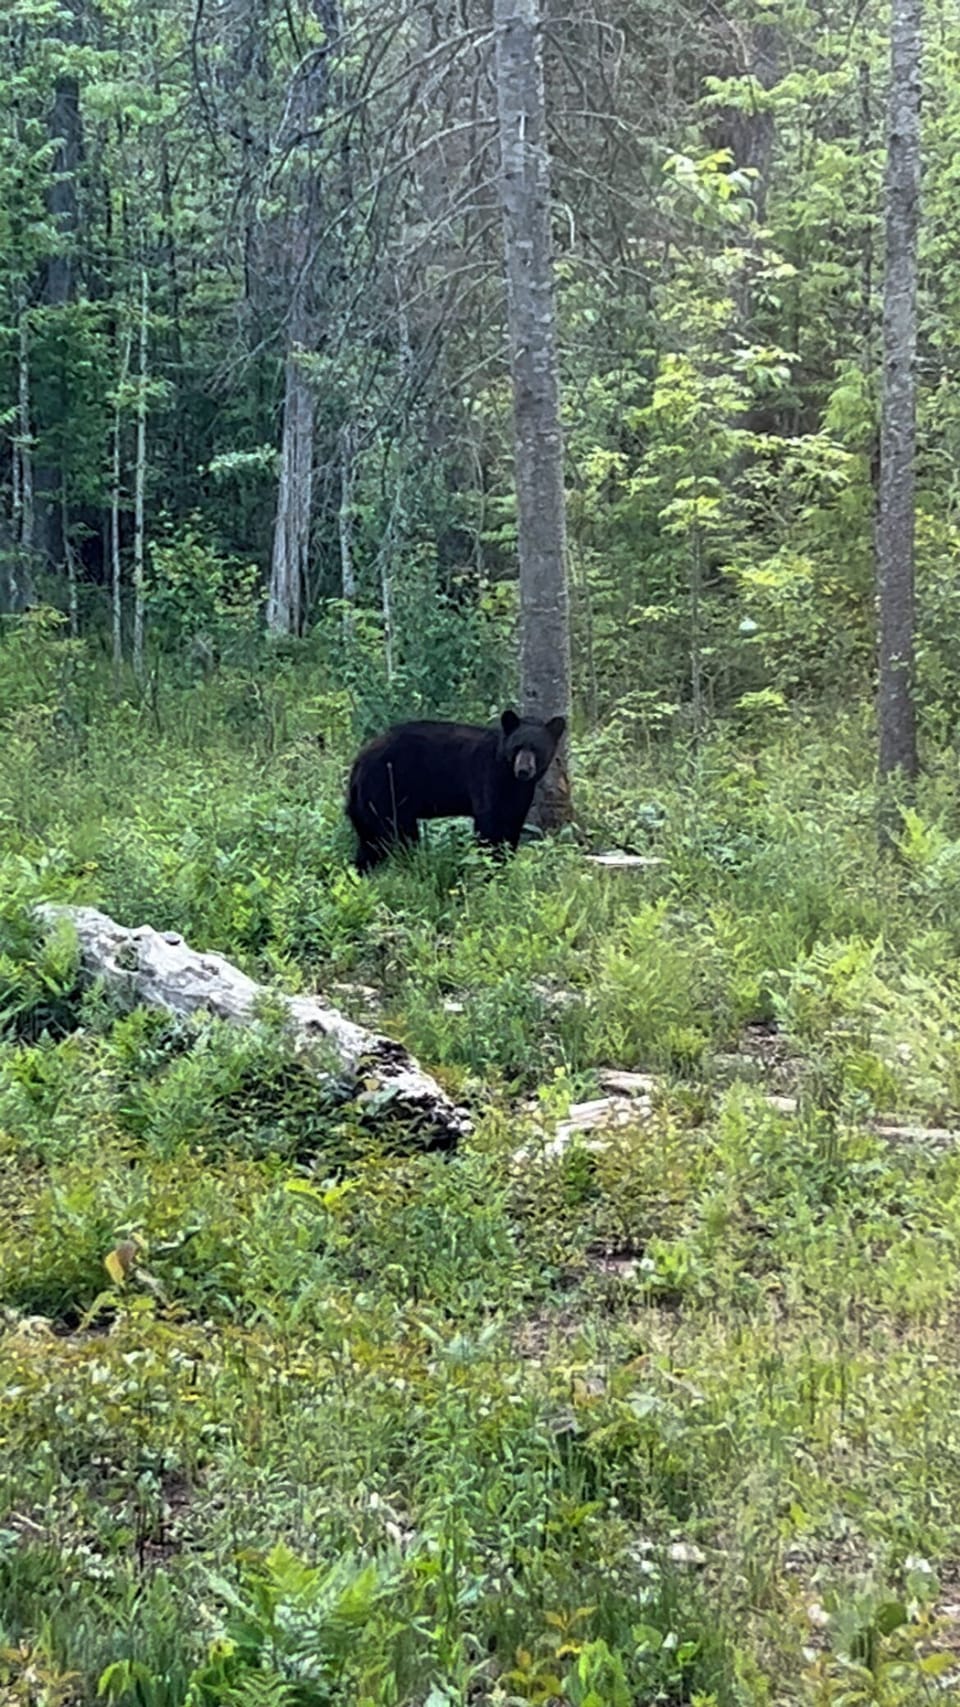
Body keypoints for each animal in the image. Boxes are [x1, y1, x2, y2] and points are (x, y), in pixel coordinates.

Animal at [346, 708, 566, 872]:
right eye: (517, 747)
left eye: (536, 748)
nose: (523, 770)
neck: (508, 775)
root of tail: (358, 763)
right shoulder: (487, 777)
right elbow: (490, 825)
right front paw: (491, 867)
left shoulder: (519, 793)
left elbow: (511, 824)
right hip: (385, 791)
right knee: (395, 836)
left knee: (370, 843)